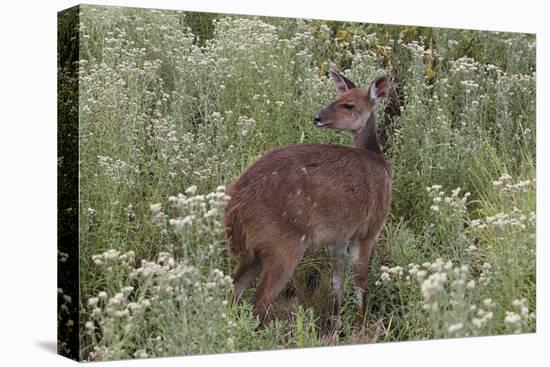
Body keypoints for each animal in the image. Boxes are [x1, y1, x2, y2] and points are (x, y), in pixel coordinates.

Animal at [223, 70, 392, 326]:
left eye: (348, 104)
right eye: (338, 98)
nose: (317, 118)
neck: (381, 165)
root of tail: (235, 205)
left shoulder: (340, 236)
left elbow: (337, 278)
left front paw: (338, 320)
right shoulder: (368, 230)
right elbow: (360, 279)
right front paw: (360, 324)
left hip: (254, 252)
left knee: (233, 291)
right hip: (284, 247)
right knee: (259, 301)